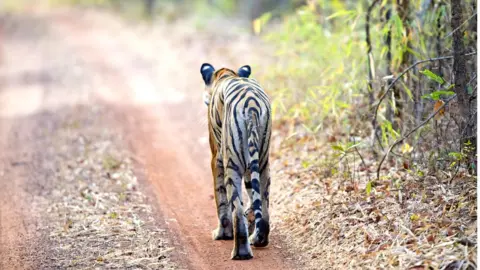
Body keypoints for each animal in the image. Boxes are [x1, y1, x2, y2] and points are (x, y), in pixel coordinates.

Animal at [199, 62, 272, 260]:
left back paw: (241, 252)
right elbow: (253, 197)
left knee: (236, 210)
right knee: (264, 205)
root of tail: (252, 105)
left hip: (232, 164)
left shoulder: (216, 158)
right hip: (262, 162)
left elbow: (220, 198)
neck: (225, 74)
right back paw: (258, 239)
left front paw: (222, 234)